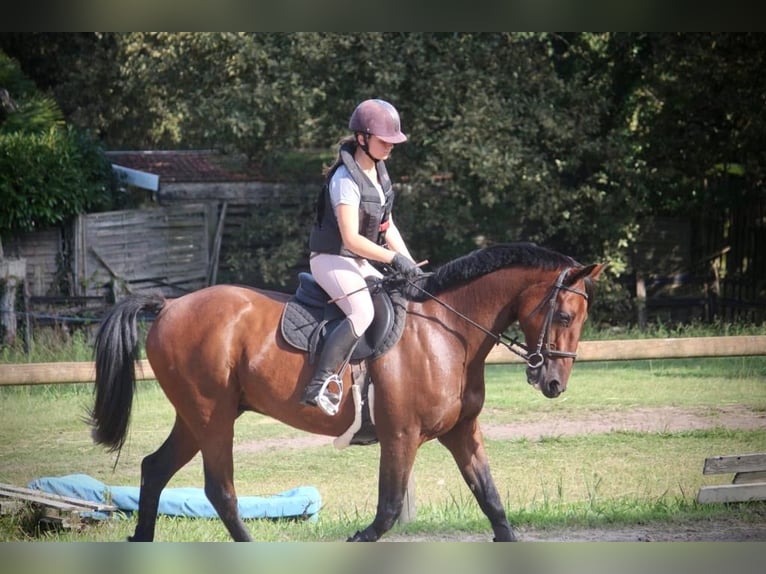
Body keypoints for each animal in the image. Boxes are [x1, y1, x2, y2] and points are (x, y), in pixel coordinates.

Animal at [90, 242, 608, 544]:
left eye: (581, 319)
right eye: (564, 315)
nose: (554, 383)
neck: (449, 331)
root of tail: (171, 305)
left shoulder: (461, 432)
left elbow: (492, 502)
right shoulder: (400, 436)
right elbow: (388, 509)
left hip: (198, 416)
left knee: (155, 468)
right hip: (211, 415)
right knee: (220, 489)